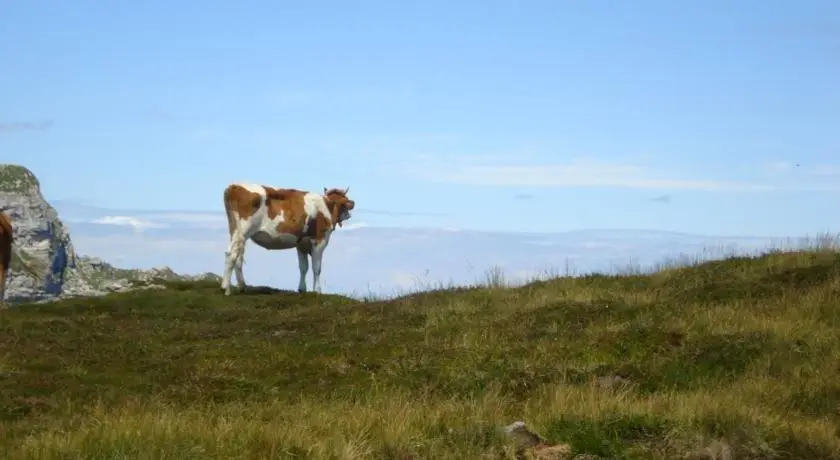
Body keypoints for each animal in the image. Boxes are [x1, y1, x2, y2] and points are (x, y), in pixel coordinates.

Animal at [220, 183, 354, 294]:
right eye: (345, 204)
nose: (349, 215)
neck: (327, 205)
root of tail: (235, 186)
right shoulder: (320, 240)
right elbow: (316, 268)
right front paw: (317, 290)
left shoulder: (301, 244)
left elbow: (303, 267)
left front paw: (302, 289)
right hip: (243, 229)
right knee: (231, 253)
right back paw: (226, 287)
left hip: (235, 230)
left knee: (238, 255)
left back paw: (242, 286)